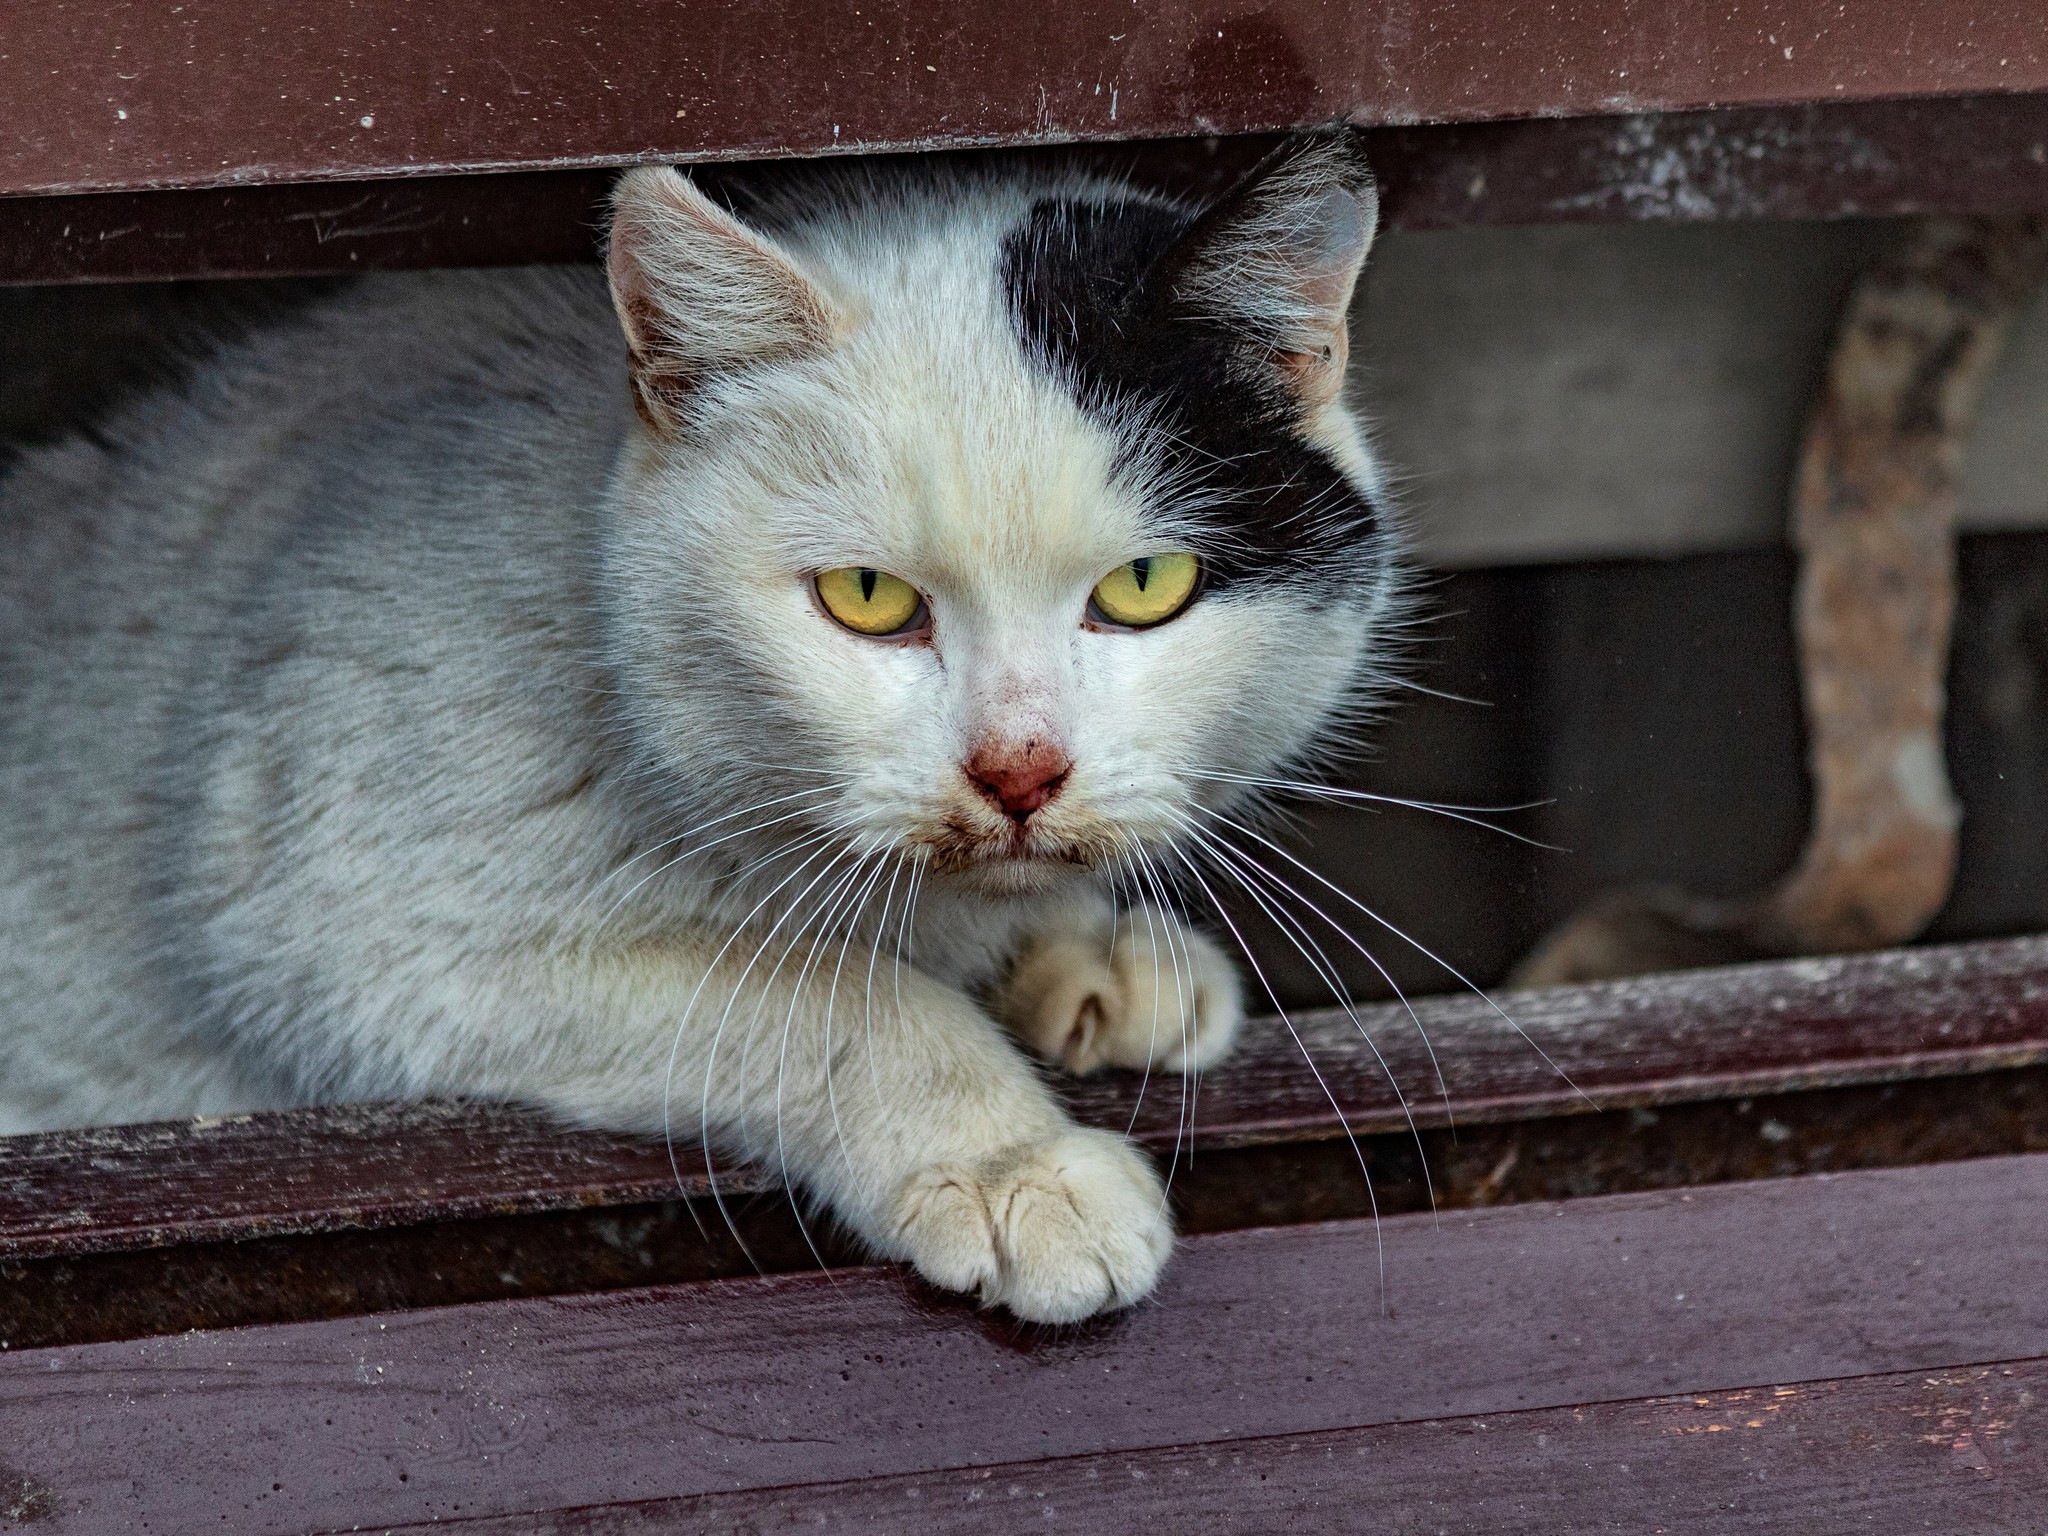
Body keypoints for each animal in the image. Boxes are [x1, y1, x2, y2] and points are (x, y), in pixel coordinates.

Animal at [0, 135, 1400, 1327]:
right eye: (867, 598)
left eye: (1146, 586)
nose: (1019, 770)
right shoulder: (352, 939)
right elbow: (832, 993)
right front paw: (1011, 1159)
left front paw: (1089, 950)